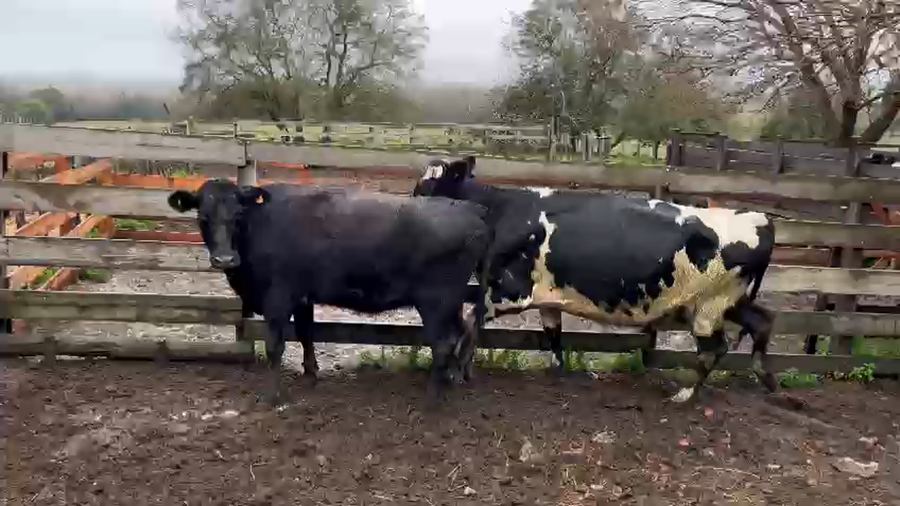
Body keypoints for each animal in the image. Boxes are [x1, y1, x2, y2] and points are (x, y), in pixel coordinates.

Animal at [168, 179, 490, 406]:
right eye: (203, 216)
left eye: (237, 214)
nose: (224, 259)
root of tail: (471, 209)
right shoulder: (302, 297)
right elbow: (306, 333)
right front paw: (310, 375)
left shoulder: (278, 297)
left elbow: (275, 346)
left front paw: (273, 397)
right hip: (451, 302)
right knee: (463, 332)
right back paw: (453, 378)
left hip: (436, 301)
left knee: (443, 343)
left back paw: (433, 396)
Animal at [413, 156, 779, 403]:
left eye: (429, 184)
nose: (412, 206)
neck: (503, 211)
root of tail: (758, 218)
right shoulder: (546, 298)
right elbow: (553, 337)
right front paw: (559, 373)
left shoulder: (508, 291)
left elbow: (469, 323)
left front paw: (458, 370)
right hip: (727, 302)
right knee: (762, 322)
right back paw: (767, 378)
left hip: (708, 308)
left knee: (715, 348)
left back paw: (686, 393)